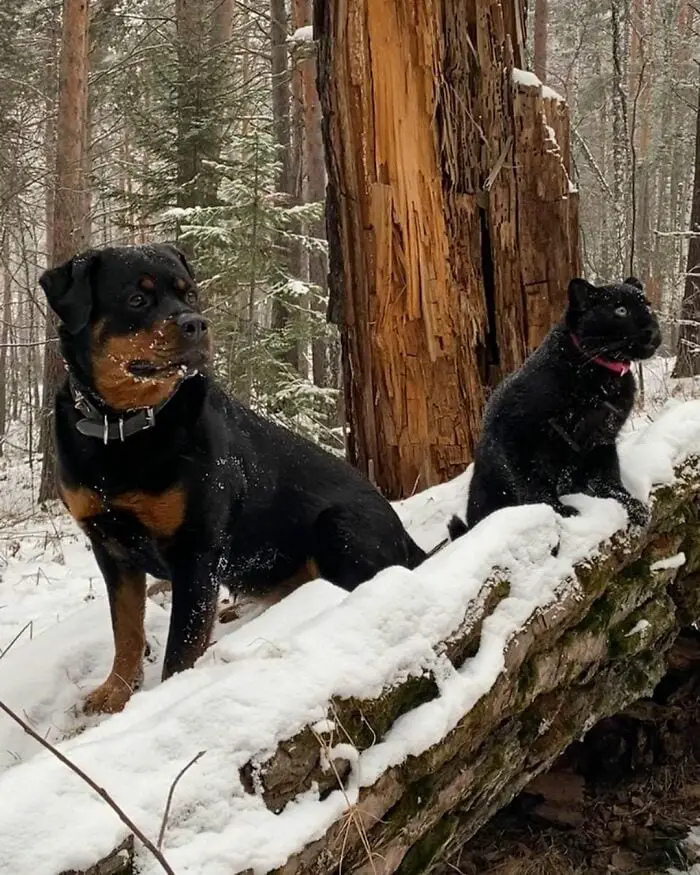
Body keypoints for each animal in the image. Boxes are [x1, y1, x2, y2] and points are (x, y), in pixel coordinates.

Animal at [43, 243, 430, 716]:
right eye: (137, 299)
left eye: (190, 295)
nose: (195, 323)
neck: (122, 430)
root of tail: (405, 535)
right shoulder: (111, 549)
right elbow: (127, 631)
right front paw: (114, 692)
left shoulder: (196, 550)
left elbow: (181, 649)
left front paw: (165, 699)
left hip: (338, 526)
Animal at [448, 278, 660, 536]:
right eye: (621, 310)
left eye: (647, 305)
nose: (653, 330)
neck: (599, 378)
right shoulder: (516, 436)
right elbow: (533, 484)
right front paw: (560, 511)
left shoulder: (601, 440)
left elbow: (608, 478)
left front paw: (630, 503)